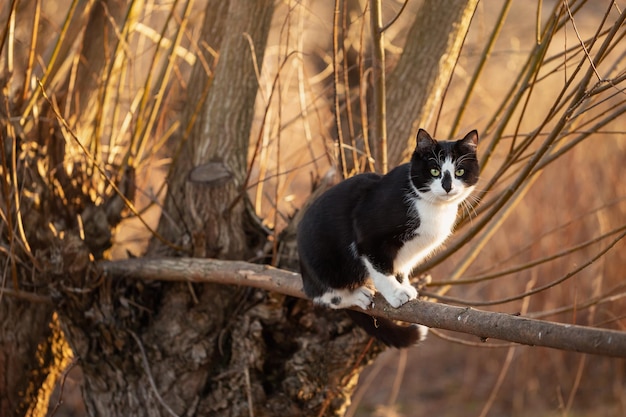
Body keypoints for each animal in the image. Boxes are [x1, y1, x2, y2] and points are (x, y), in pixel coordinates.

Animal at [298, 129, 478, 348]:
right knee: (322, 296)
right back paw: (356, 295)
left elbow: (400, 268)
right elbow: (381, 268)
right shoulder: (367, 235)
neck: (433, 208)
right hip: (323, 263)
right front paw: (396, 293)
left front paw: (404, 285)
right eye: (434, 171)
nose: (447, 186)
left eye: (459, 172)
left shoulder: (408, 252)